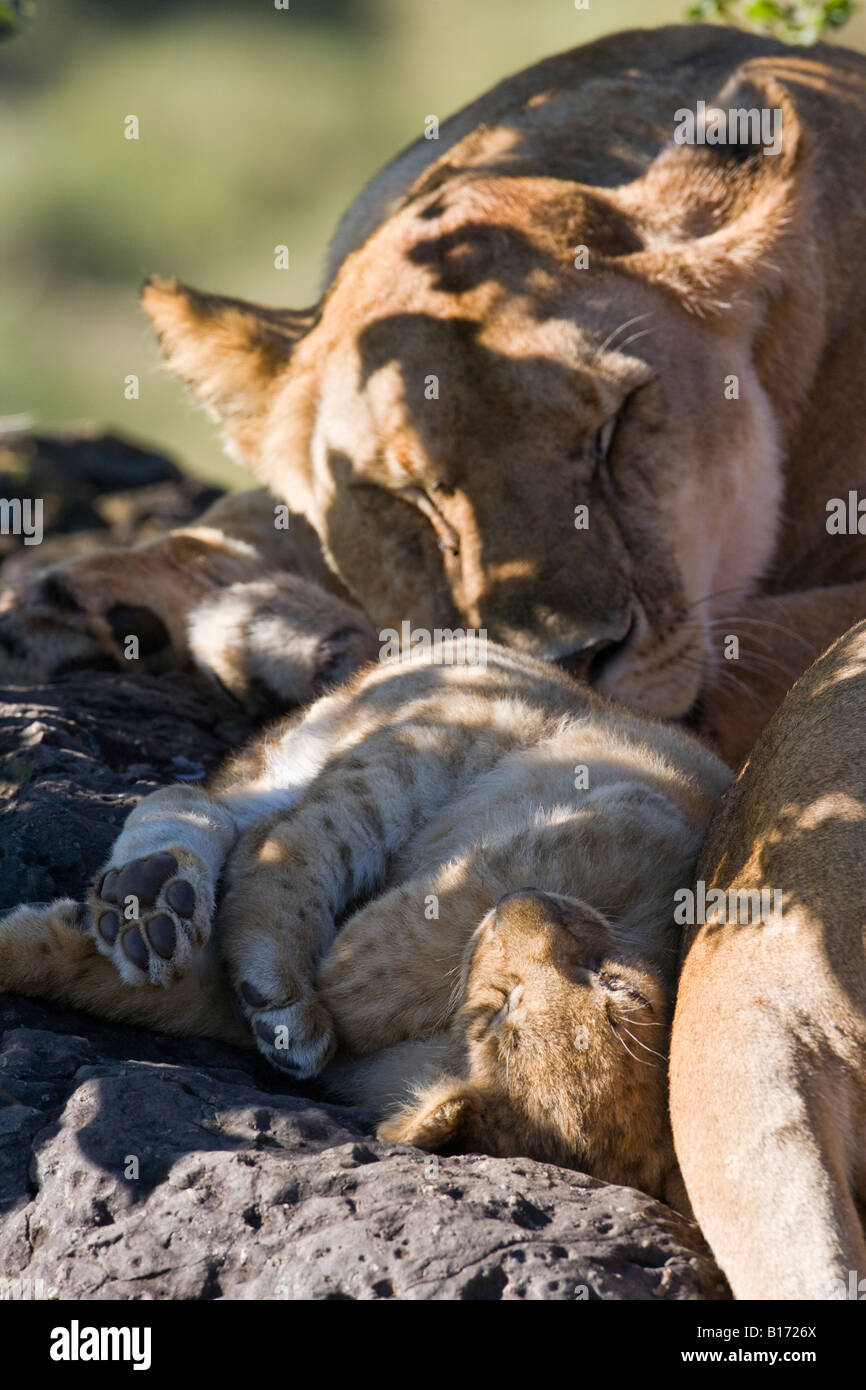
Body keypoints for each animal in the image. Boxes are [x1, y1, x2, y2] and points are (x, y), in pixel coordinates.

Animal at [0, 644, 731, 1207]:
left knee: (207, 807)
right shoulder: (636, 814)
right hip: (443, 734)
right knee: (278, 837)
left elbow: (154, 992)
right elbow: (414, 928)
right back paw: (207, 929)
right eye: (619, 990)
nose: (527, 907)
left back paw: (152, 909)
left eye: (494, 1017)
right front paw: (335, 986)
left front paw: (23, 952)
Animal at [2, 25, 866, 764]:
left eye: (613, 428)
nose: (574, 658)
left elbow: (767, 641)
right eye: (413, 495)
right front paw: (82, 600)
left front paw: (287, 635)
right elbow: (244, 515)